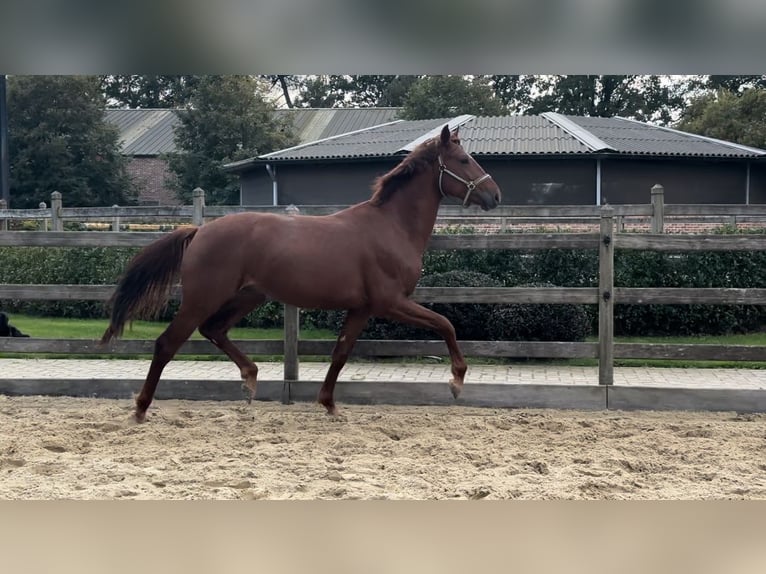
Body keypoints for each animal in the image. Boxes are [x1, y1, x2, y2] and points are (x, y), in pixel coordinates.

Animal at [100, 126, 504, 424]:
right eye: (464, 159)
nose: (495, 195)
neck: (391, 227)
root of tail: (200, 231)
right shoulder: (391, 302)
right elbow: (446, 324)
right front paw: (456, 381)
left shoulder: (362, 308)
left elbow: (340, 353)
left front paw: (329, 404)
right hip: (203, 298)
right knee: (168, 343)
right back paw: (141, 408)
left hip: (248, 296)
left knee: (213, 330)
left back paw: (250, 379)